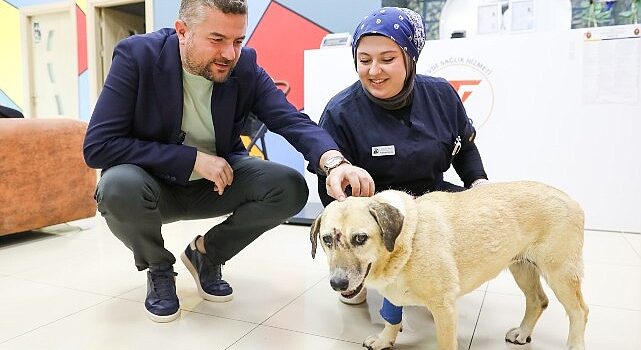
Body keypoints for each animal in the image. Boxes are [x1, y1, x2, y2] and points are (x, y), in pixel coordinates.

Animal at [308, 182, 584, 348]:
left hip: (560, 273)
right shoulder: (393, 294)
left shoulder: (444, 309)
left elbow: (445, 344)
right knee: (538, 301)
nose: (337, 283)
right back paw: (523, 332)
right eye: (327, 239)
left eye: (360, 238)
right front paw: (386, 339)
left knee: (580, 312)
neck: (407, 241)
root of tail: (569, 197)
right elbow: (391, 317)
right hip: (521, 267)